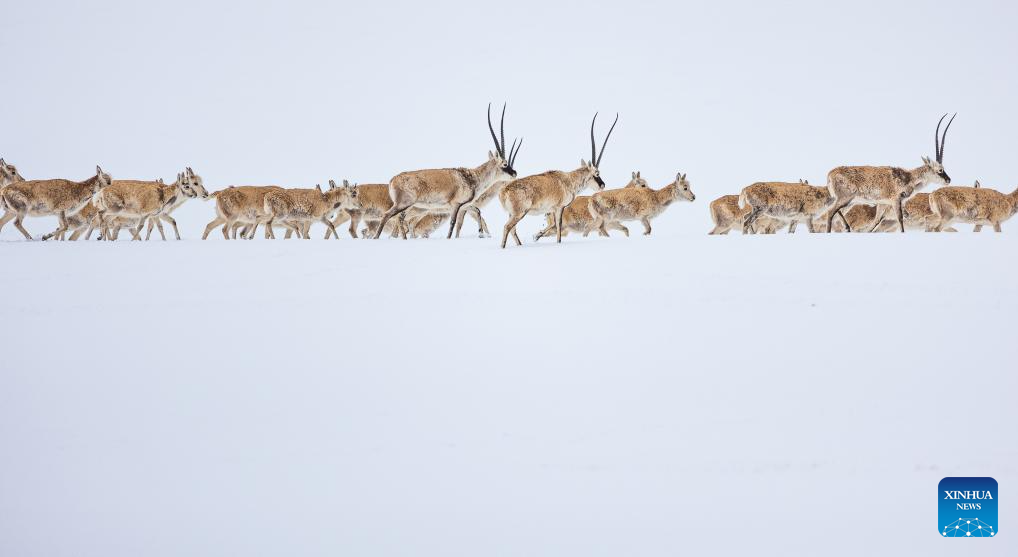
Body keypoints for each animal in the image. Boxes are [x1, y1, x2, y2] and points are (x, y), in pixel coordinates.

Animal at [370, 104, 521, 239]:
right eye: (505, 163)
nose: (514, 173)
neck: (471, 177)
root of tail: (392, 180)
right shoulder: (455, 205)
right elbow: (453, 223)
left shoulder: (464, 206)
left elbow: (476, 212)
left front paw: (480, 234)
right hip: (404, 204)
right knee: (388, 215)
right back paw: (376, 238)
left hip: (409, 207)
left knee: (400, 220)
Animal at [498, 112, 614, 247]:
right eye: (596, 173)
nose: (602, 185)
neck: (569, 179)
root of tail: (504, 190)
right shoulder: (560, 207)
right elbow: (558, 225)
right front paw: (557, 242)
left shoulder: (552, 209)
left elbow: (553, 223)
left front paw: (537, 236)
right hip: (519, 213)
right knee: (507, 227)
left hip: (512, 214)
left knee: (512, 230)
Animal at [822, 114, 956, 233]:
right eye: (940, 170)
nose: (948, 180)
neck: (908, 176)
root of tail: (830, 174)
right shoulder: (895, 200)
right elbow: (900, 219)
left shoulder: (882, 204)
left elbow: (875, 223)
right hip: (845, 199)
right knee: (830, 212)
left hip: (849, 202)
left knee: (835, 211)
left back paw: (847, 228)